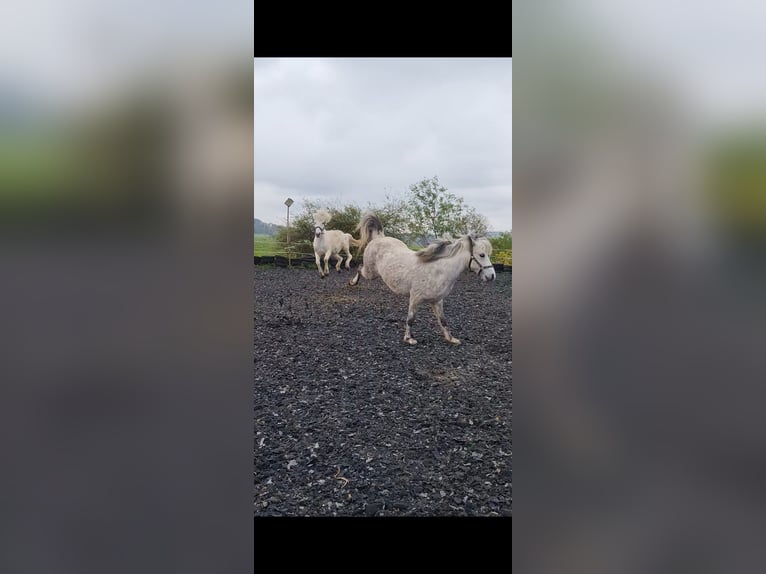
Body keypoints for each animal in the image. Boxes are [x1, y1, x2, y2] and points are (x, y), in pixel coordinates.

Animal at [350, 213, 496, 344]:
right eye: (481, 255)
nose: (492, 276)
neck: (438, 271)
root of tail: (379, 237)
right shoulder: (415, 298)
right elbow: (411, 319)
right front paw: (409, 339)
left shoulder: (437, 301)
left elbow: (443, 320)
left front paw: (451, 338)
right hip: (370, 273)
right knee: (359, 268)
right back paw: (353, 282)